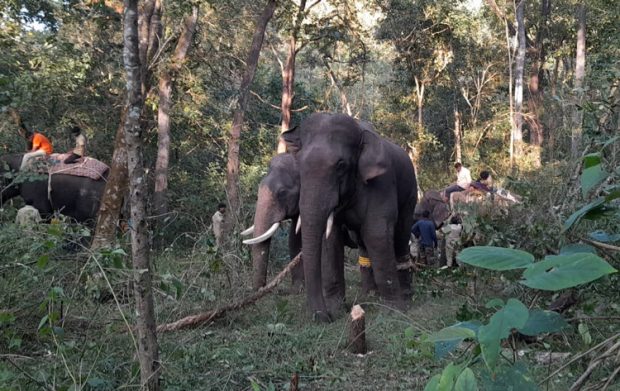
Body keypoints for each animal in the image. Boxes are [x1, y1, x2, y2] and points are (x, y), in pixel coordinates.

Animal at [284, 112, 418, 322]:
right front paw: (337, 309)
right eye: (299, 165)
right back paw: (369, 294)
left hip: (411, 193)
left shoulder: (383, 182)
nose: (324, 317)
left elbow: (377, 233)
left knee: (400, 236)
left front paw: (394, 311)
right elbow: (330, 240)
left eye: (341, 165)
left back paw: (405, 295)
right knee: (363, 244)